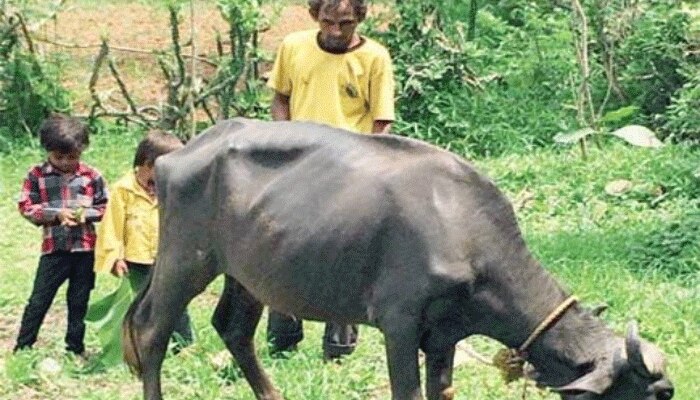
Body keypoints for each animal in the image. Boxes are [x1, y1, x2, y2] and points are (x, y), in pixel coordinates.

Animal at [121, 118, 672, 400]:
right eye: (657, 393)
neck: (463, 229)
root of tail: (183, 151)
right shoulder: (399, 324)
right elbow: (405, 392)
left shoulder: (445, 335)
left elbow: (439, 392)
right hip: (185, 262)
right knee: (152, 331)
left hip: (248, 273)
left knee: (233, 328)